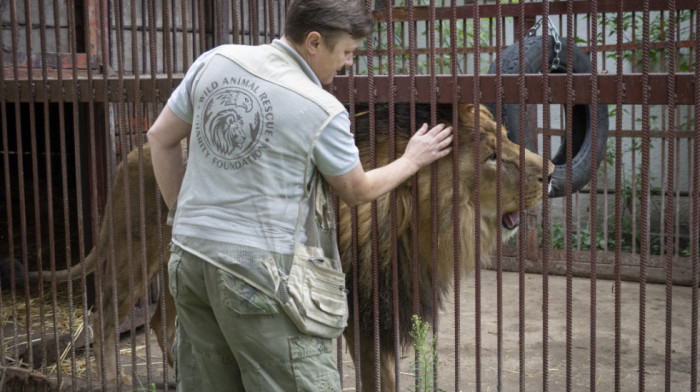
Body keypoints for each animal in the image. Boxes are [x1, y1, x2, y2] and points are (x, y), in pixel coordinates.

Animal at [28, 103, 552, 388]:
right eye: (492, 157)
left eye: (509, 139)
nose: (550, 172)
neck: (412, 220)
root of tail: (131, 154)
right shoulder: (364, 309)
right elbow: (374, 379)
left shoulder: (388, 304)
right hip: (130, 256)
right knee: (103, 317)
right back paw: (111, 378)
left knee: (163, 318)